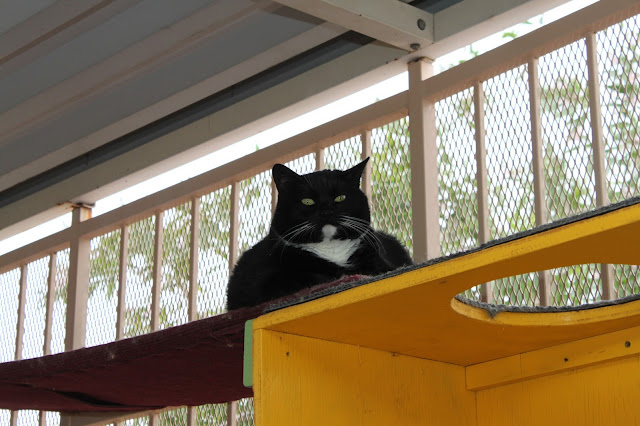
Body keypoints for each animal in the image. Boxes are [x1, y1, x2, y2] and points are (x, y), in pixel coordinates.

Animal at [225, 158, 413, 310]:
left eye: (340, 198)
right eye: (307, 201)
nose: (326, 211)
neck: (331, 248)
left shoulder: (382, 262)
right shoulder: (263, 283)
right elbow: (308, 277)